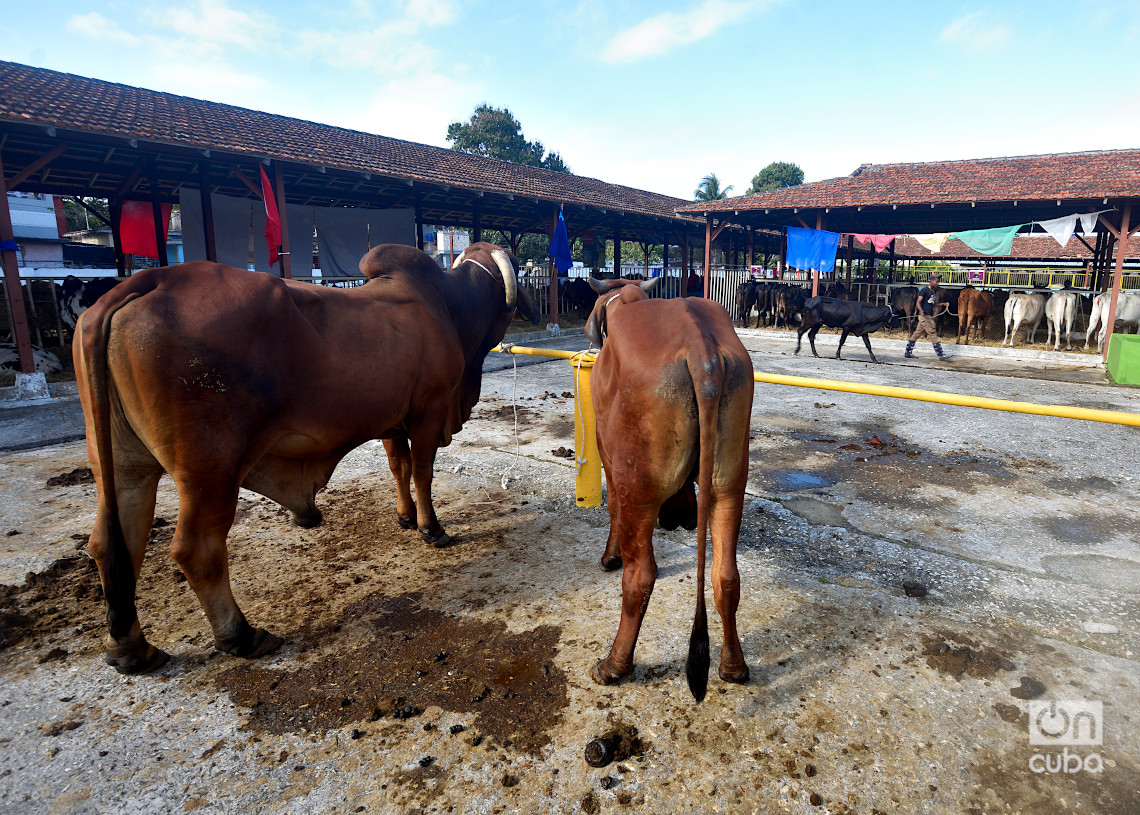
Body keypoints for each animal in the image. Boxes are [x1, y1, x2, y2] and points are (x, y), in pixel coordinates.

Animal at [73, 242, 540, 674]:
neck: (449, 305)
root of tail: (148, 280)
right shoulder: (428, 412)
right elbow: (422, 472)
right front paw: (431, 528)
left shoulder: (392, 422)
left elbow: (399, 468)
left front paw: (405, 517)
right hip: (210, 470)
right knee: (196, 549)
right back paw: (241, 635)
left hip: (122, 464)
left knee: (114, 542)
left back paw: (131, 647)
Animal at [583, 279, 752, 702]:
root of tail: (699, 346)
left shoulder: (608, 456)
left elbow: (611, 510)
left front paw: (609, 557)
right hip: (729, 485)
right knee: (726, 575)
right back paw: (733, 666)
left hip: (637, 490)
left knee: (641, 576)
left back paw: (614, 665)